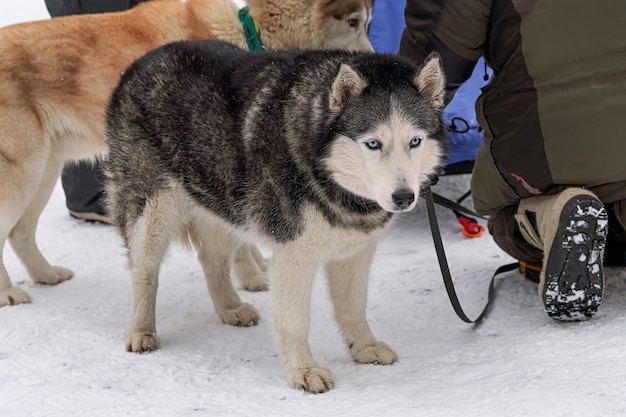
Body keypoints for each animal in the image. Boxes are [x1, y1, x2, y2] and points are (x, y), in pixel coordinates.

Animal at [0, 0, 370, 306]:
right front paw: (250, 277)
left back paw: (45, 275)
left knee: (19, 233)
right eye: (354, 22)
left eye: (368, 22)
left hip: (44, 171)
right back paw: (7, 293)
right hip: (22, 175)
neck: (250, 32)